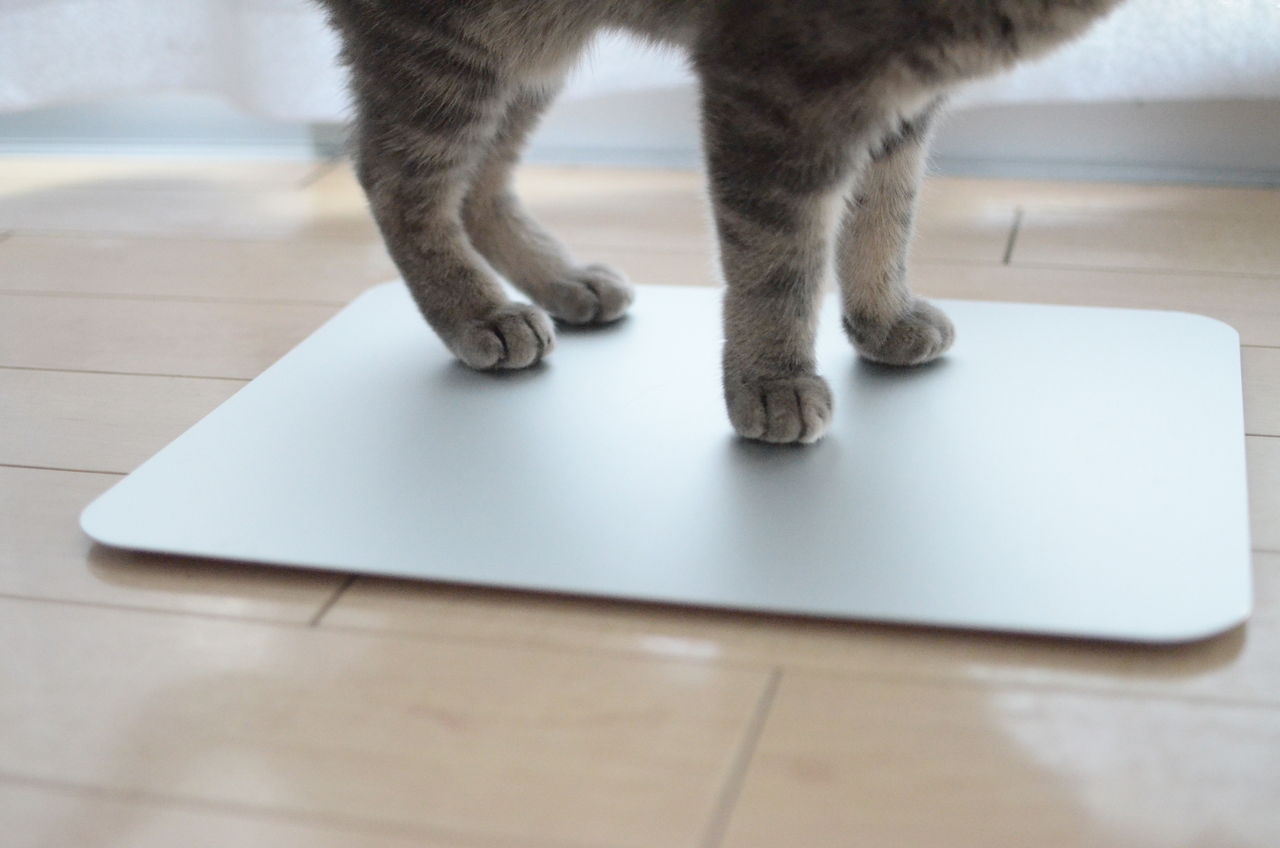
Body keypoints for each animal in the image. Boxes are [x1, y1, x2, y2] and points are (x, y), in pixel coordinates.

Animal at [317, 0, 1125, 444]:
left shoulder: (900, 90)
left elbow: (885, 212)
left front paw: (882, 317)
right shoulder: (772, 85)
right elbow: (777, 260)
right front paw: (772, 380)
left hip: (535, 43)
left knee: (479, 183)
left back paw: (562, 280)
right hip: (454, 42)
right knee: (394, 179)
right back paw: (477, 312)